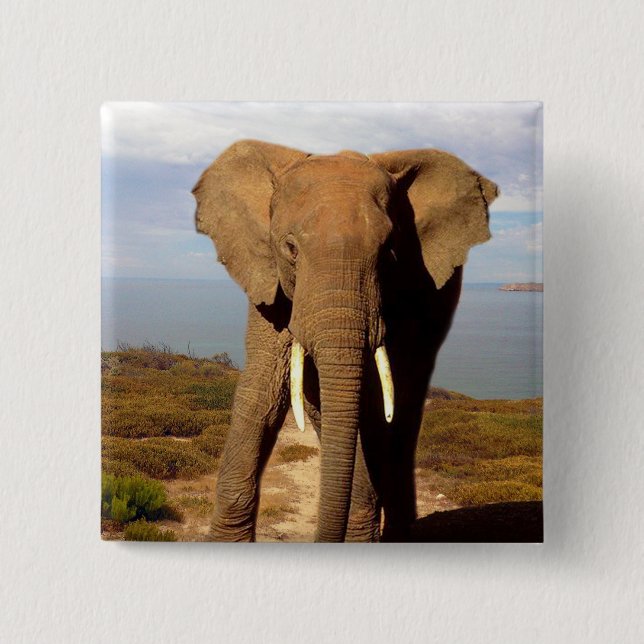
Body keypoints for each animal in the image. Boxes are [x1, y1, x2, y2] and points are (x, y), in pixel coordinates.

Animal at [193, 139, 498, 542]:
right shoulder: (267, 277)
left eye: (389, 252)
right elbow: (261, 390)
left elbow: (373, 402)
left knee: (403, 407)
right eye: (290, 248)